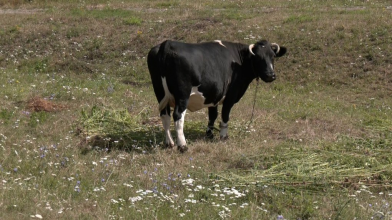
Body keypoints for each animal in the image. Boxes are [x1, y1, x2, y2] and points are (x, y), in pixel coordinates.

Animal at [146, 39, 284, 151]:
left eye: (273, 56)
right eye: (258, 57)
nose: (271, 75)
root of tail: (167, 44)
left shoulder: (214, 95)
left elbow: (212, 116)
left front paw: (209, 135)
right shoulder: (230, 96)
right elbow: (225, 116)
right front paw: (223, 136)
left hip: (160, 92)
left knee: (165, 116)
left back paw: (169, 143)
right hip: (182, 94)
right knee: (178, 116)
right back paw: (183, 146)